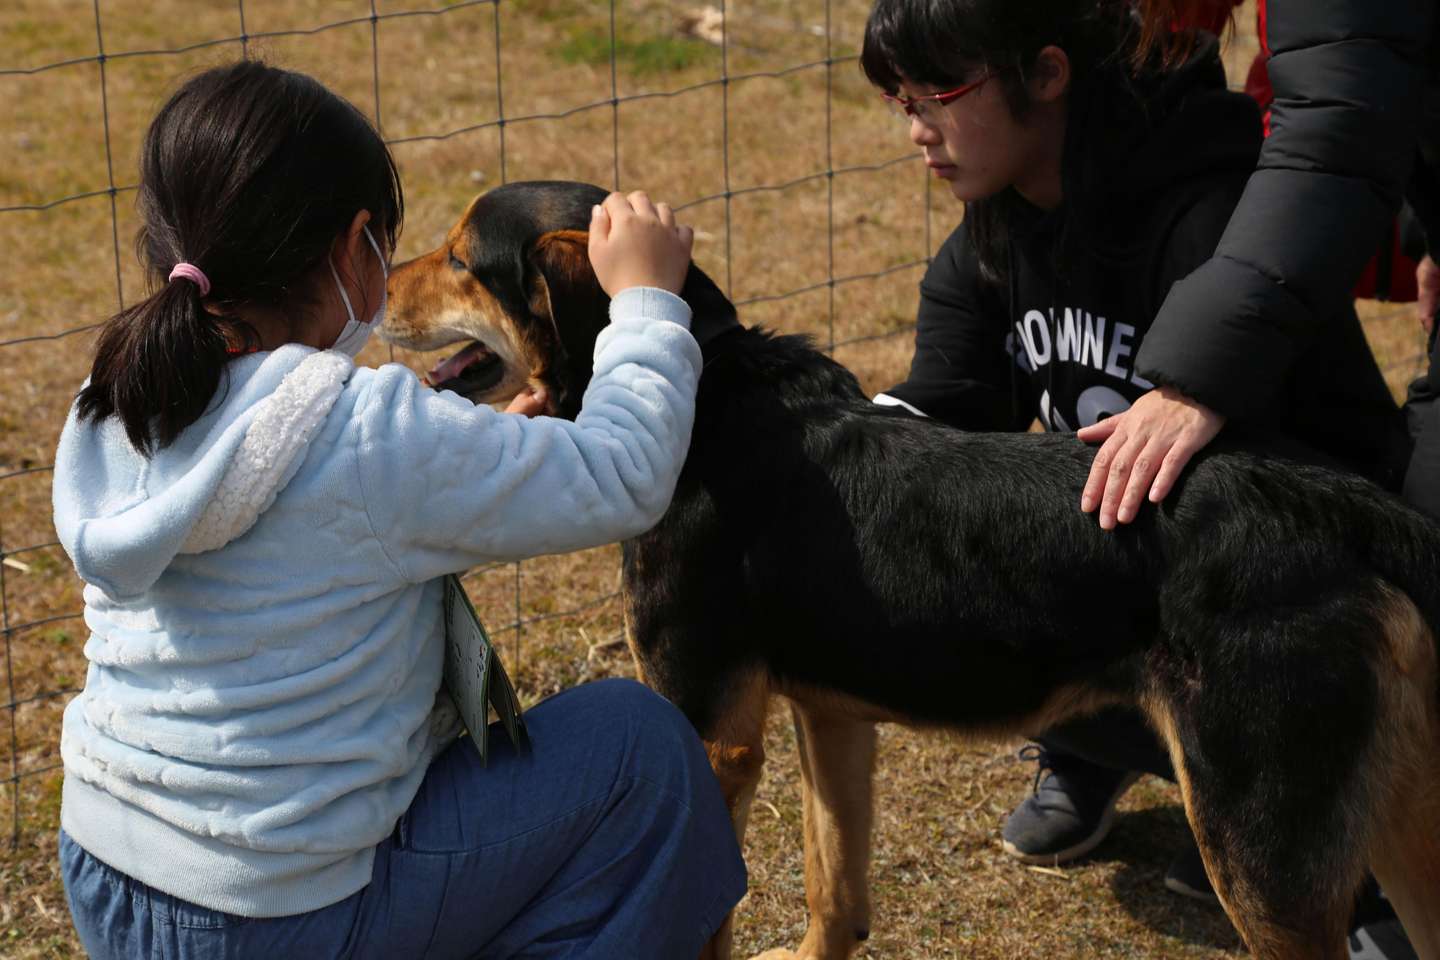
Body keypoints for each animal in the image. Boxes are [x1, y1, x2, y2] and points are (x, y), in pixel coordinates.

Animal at [380, 182, 1440, 960]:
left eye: (463, 259)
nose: (378, 282)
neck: (701, 394)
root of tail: (1336, 506)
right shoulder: (831, 717)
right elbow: (834, 887)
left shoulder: (708, 736)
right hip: (1395, 814)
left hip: (1259, 839)